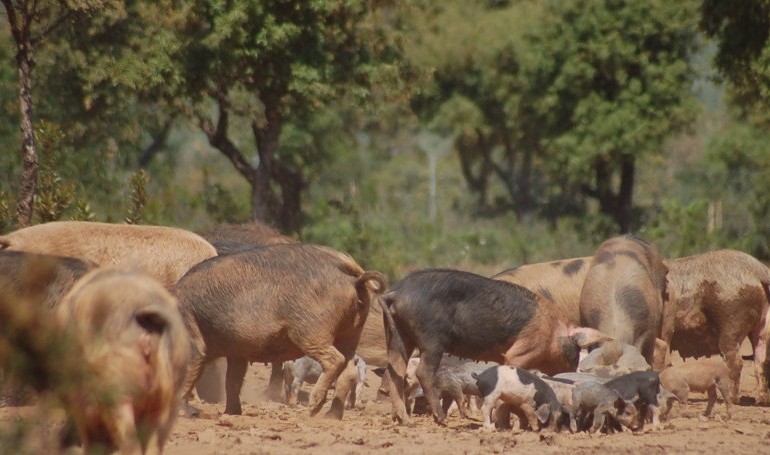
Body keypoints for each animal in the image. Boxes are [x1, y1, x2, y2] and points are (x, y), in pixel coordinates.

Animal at [177, 242, 388, 420]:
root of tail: (351, 273)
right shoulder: (238, 352)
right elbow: (232, 380)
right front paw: (231, 413)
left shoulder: (192, 334)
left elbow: (191, 366)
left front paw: (184, 414)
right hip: (351, 332)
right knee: (348, 368)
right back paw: (330, 416)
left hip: (310, 329)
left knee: (334, 359)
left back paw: (313, 408)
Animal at [380, 268, 612, 426]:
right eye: (575, 352)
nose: (572, 371)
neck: (553, 331)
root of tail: (396, 292)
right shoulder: (520, 352)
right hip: (432, 338)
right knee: (422, 372)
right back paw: (442, 419)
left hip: (398, 335)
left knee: (394, 370)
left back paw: (403, 419)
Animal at [660, 251, 768, 404]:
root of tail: (760, 271)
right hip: (762, 323)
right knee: (761, 359)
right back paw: (761, 401)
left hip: (731, 319)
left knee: (735, 361)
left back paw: (731, 399)